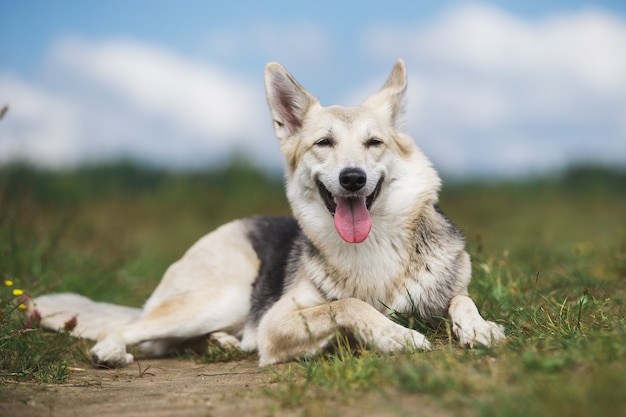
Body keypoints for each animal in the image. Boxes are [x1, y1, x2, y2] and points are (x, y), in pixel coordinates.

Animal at [31, 59, 504, 368]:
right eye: (323, 143)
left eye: (374, 143)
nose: (352, 178)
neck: (372, 247)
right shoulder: (277, 323)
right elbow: (349, 305)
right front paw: (394, 334)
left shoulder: (449, 291)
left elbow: (462, 300)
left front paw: (479, 327)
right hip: (222, 296)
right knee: (136, 333)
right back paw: (112, 351)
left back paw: (220, 344)